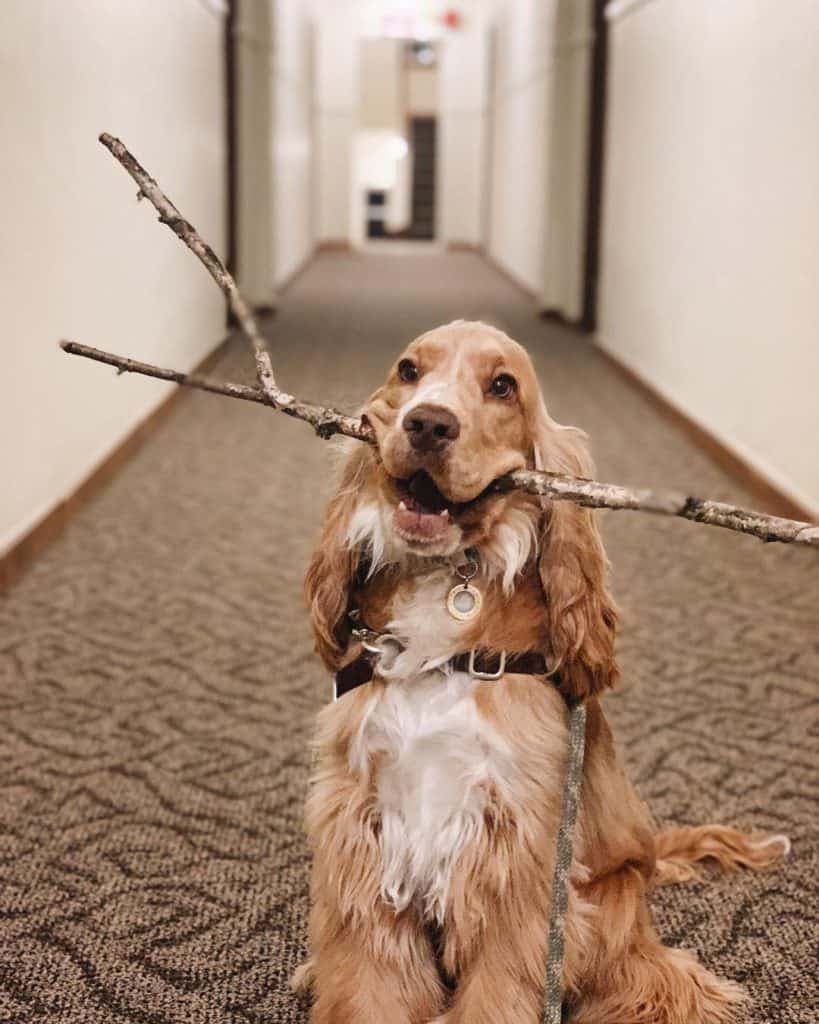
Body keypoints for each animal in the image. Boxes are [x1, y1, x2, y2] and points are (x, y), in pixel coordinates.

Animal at [294, 321, 786, 1024]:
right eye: (409, 370)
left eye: (503, 387)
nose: (428, 424)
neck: (445, 586)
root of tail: (649, 851)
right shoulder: (362, 827)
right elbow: (367, 983)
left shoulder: (518, 857)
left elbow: (496, 993)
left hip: (610, 906)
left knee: (659, 980)